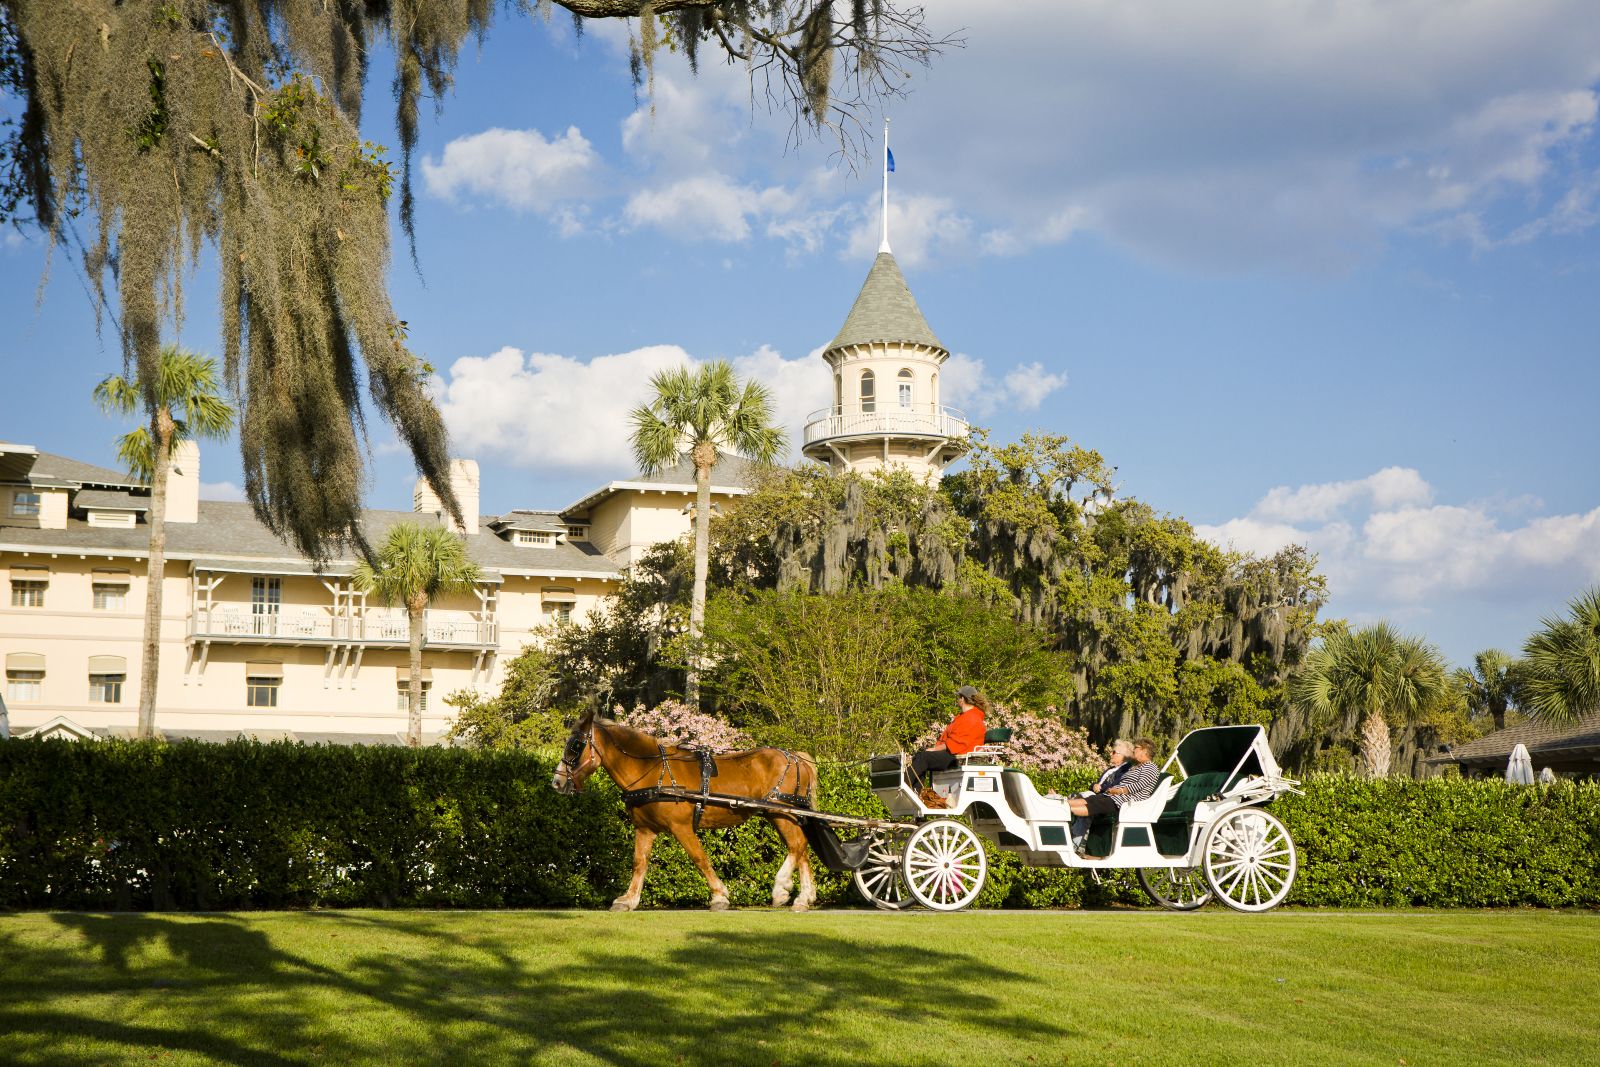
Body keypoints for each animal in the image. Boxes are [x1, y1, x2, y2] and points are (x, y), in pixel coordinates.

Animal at [556, 710, 819, 908]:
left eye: (576, 746)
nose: (556, 782)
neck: (653, 770)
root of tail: (796, 757)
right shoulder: (645, 829)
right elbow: (639, 862)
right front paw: (629, 899)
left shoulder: (681, 827)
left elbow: (699, 857)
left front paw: (719, 895)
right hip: (782, 815)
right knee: (801, 848)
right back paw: (803, 897)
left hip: (781, 812)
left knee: (797, 846)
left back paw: (782, 888)